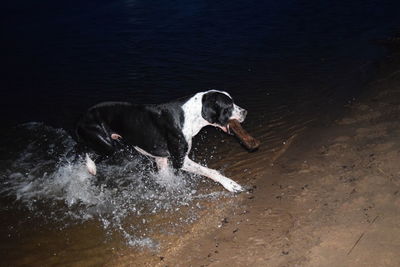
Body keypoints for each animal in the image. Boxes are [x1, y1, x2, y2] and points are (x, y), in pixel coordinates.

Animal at [73, 90, 245, 193]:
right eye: (229, 106)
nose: (245, 112)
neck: (190, 115)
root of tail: (80, 119)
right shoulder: (180, 160)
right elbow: (211, 171)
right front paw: (230, 184)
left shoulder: (161, 158)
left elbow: (166, 177)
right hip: (106, 145)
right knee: (83, 149)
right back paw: (90, 166)